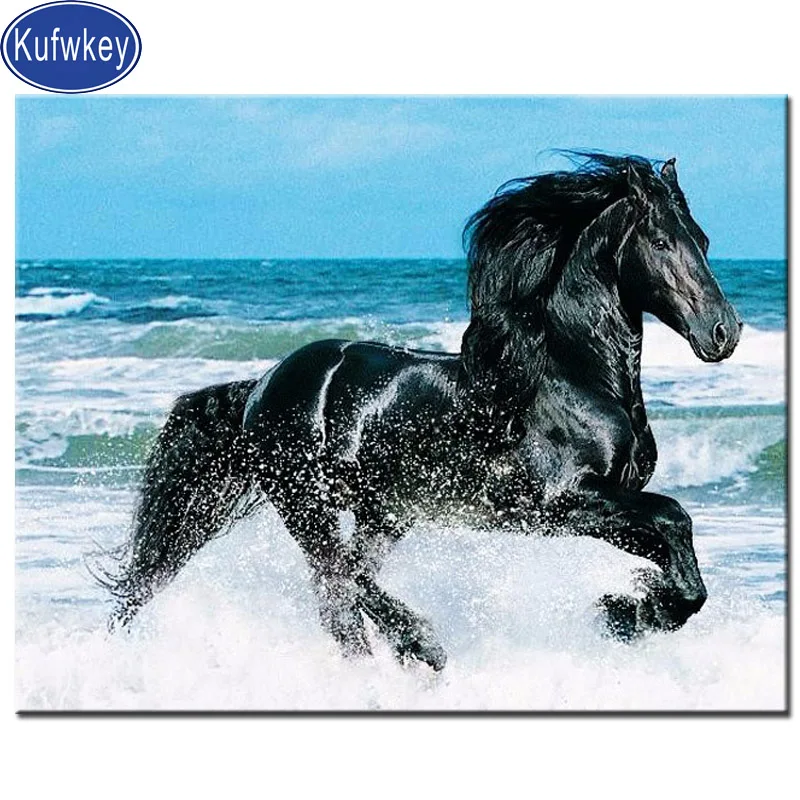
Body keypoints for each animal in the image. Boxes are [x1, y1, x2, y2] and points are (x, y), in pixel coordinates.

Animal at [99, 152, 742, 671]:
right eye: (660, 242)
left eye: (704, 240)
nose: (723, 332)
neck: (574, 376)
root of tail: (263, 386)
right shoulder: (564, 502)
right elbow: (675, 518)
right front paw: (620, 612)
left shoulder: (605, 504)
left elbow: (677, 555)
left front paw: (629, 611)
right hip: (307, 504)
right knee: (339, 578)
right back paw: (418, 647)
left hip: (385, 512)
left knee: (345, 584)